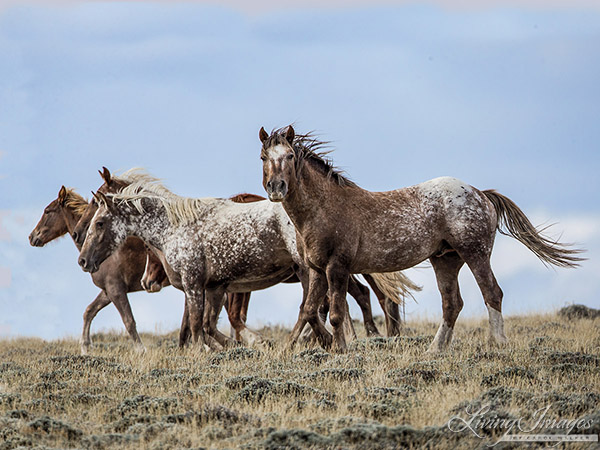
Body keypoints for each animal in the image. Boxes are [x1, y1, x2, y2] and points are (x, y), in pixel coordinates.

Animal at [258, 125, 584, 352]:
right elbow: (309, 311)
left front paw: (340, 348)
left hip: (475, 253)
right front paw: (307, 346)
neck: (324, 207)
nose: (276, 187)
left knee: (492, 293)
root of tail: (481, 193)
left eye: (289, 156)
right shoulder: (315, 269)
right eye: (263, 157)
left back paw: (498, 344)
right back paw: (435, 350)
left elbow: (336, 313)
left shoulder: (337, 267)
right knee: (452, 303)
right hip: (446, 260)